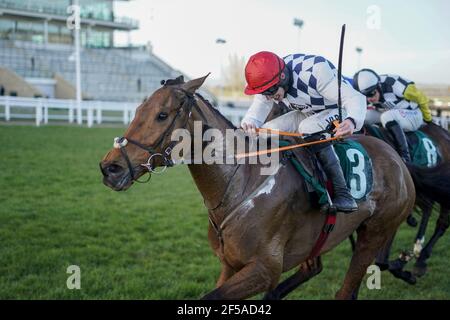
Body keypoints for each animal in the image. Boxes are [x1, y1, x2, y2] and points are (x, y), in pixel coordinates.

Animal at [100, 75, 420, 300]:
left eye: (162, 115)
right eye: (138, 109)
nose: (110, 168)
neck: (240, 184)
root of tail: (396, 157)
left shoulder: (264, 269)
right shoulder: (230, 264)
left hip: (374, 233)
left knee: (346, 288)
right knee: (312, 268)